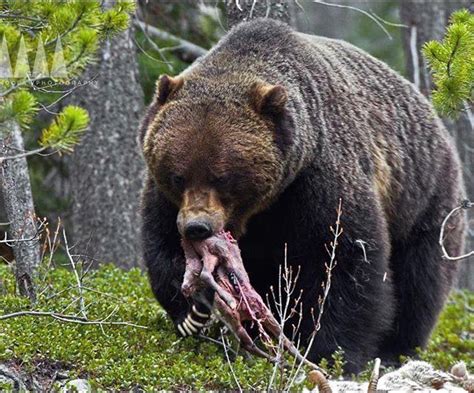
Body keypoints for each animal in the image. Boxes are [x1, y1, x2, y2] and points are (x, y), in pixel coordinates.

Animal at [139, 19, 464, 374]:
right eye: (178, 175)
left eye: (222, 178)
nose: (197, 228)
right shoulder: (165, 198)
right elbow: (162, 243)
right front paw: (194, 303)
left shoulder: (319, 179)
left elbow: (342, 258)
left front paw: (331, 350)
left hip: (423, 197)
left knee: (420, 277)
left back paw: (398, 347)